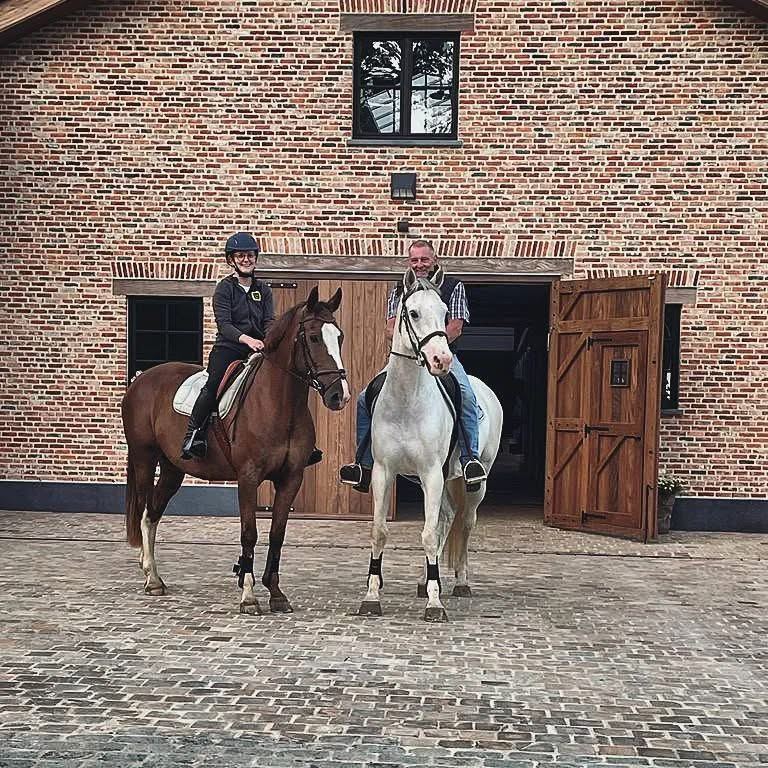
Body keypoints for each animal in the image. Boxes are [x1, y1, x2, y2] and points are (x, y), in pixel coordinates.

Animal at [121, 286, 350, 614]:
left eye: (339, 337)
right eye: (314, 337)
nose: (338, 396)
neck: (280, 404)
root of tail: (141, 379)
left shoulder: (291, 479)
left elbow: (277, 533)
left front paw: (276, 593)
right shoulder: (248, 478)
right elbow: (249, 533)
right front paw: (249, 595)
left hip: (173, 469)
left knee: (153, 513)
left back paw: (155, 577)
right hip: (143, 459)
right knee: (143, 513)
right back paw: (151, 577)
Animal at [358, 270, 503, 622]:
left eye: (445, 313)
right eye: (412, 313)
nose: (441, 360)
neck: (406, 401)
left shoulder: (432, 473)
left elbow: (427, 533)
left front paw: (435, 604)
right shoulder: (384, 472)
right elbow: (379, 531)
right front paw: (371, 597)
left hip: (473, 482)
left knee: (463, 524)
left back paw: (459, 582)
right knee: (446, 520)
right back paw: (426, 580)